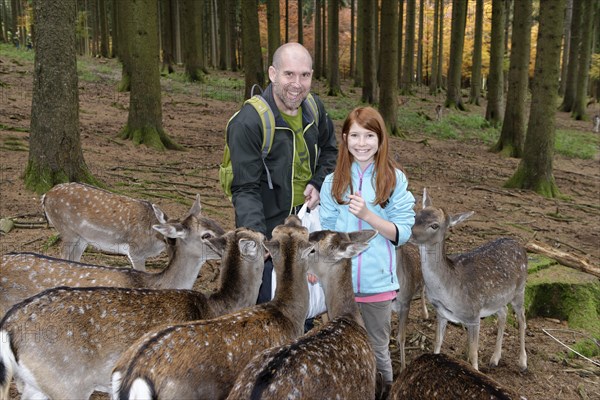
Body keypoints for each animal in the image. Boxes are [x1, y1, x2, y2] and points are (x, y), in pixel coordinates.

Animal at [410, 188, 528, 372]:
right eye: (416, 215)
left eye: (434, 225)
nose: (409, 234)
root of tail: (520, 245)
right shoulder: (441, 313)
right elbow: (437, 344)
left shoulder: (473, 316)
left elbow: (474, 354)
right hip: (497, 300)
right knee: (503, 313)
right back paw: (495, 358)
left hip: (520, 289)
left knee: (522, 319)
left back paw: (523, 362)